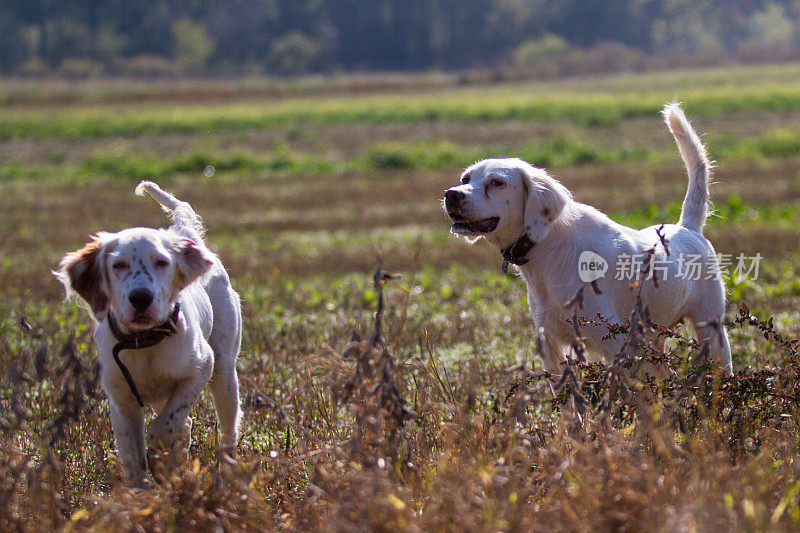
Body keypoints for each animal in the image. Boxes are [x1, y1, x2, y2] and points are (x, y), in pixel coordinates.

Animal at [55, 181, 239, 484]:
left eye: (162, 263)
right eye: (118, 265)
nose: (141, 298)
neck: (144, 342)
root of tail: (183, 235)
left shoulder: (201, 368)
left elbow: (163, 426)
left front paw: (160, 457)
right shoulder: (121, 399)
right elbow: (133, 457)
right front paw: (143, 488)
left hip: (224, 371)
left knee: (227, 427)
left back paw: (228, 473)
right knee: (187, 424)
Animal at [444, 104, 732, 378]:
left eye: (497, 182)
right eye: (465, 179)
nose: (451, 195)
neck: (548, 251)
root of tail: (687, 227)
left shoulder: (617, 345)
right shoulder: (551, 347)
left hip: (712, 331)